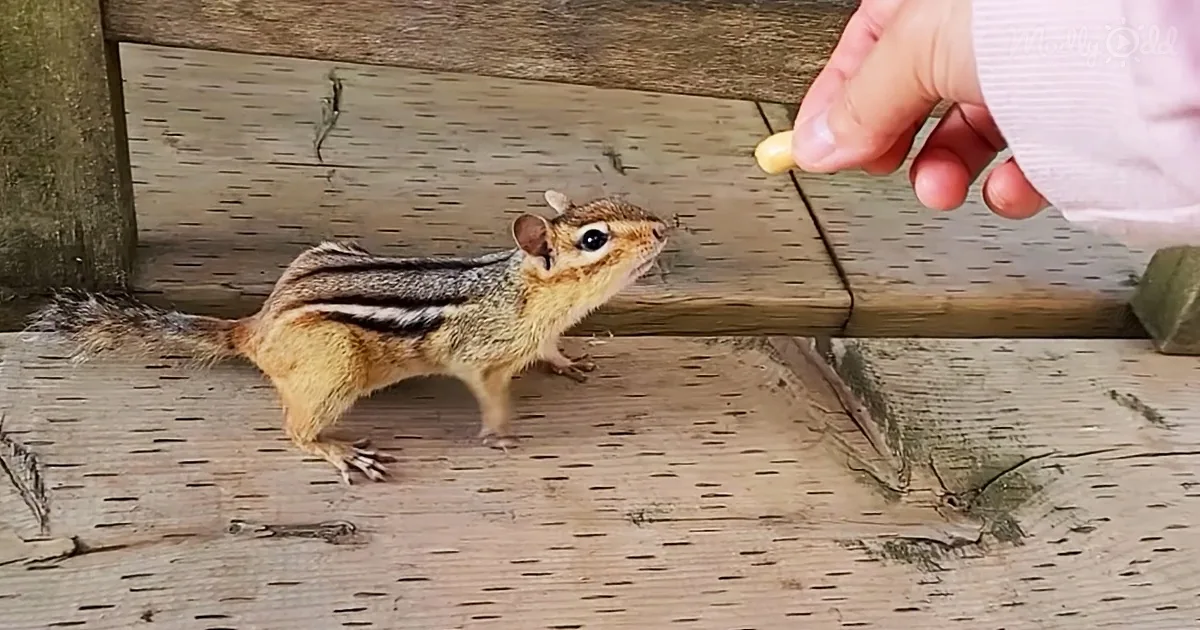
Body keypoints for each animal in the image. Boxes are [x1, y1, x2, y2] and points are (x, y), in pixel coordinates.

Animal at [26, 190, 670, 485]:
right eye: (593, 239)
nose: (666, 226)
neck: (527, 294)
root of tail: (255, 327)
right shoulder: (480, 357)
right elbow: (489, 394)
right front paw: (499, 433)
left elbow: (550, 351)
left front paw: (567, 361)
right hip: (335, 367)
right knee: (294, 431)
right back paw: (338, 450)